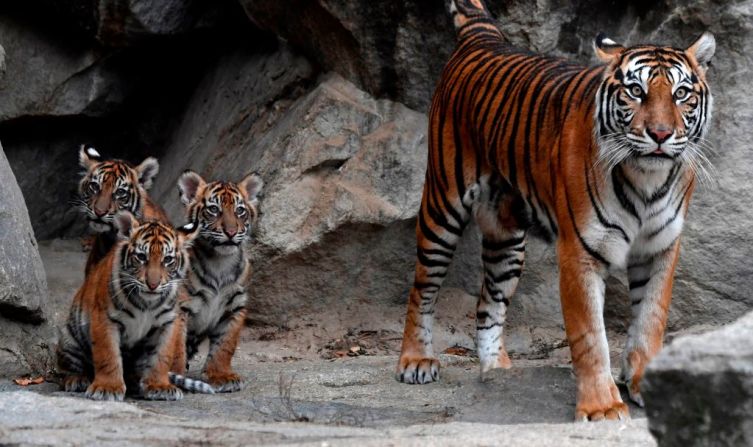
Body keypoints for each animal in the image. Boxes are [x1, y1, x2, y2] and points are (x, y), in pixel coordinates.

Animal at [396, 0, 712, 424]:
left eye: (681, 94)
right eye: (636, 91)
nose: (660, 134)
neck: (647, 179)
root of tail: (483, 39)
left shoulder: (659, 247)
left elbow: (650, 320)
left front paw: (647, 384)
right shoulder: (580, 251)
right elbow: (590, 335)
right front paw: (602, 406)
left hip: (507, 240)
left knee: (488, 303)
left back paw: (497, 373)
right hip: (442, 206)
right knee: (422, 288)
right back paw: (416, 360)